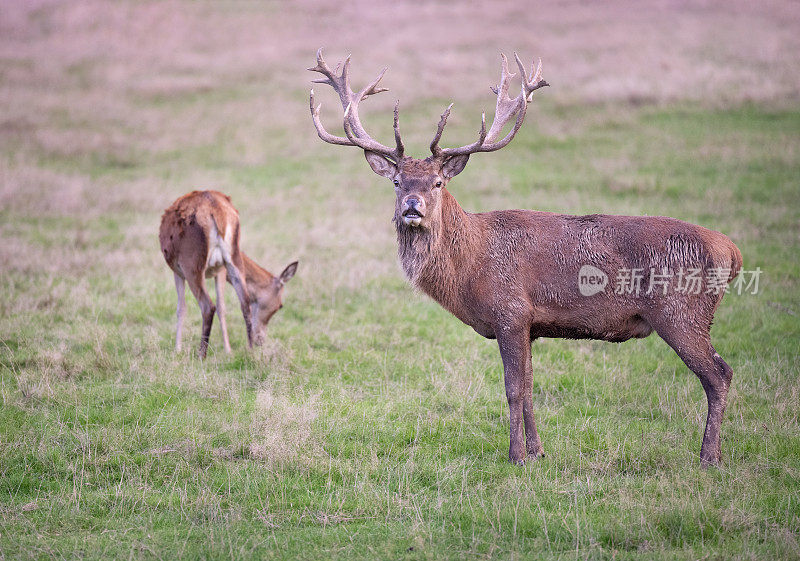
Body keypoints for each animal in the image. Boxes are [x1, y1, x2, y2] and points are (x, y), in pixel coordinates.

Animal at [158, 191, 298, 358]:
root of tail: (216, 211)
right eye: (280, 305)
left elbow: (181, 308)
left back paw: (201, 354)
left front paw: (177, 350)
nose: (260, 340)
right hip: (233, 258)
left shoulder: (177, 270)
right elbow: (222, 307)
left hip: (192, 264)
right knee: (244, 302)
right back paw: (249, 351)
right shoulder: (220, 270)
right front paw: (228, 350)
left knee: (207, 305)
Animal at [308, 50, 744, 466]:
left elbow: (514, 389)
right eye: (397, 182)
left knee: (719, 374)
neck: (470, 266)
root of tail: (733, 252)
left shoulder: (510, 312)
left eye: (438, 182)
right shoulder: (531, 324)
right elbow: (532, 387)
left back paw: (709, 457)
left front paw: (516, 455)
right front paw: (538, 452)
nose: (411, 206)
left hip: (681, 312)